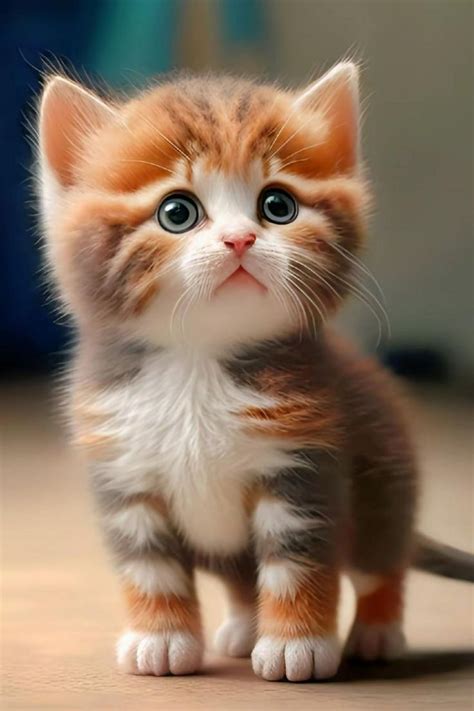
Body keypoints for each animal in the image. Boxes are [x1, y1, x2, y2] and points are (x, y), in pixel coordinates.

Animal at [39, 64, 472, 680]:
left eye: (277, 205)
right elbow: (149, 564)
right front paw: (160, 638)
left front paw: (297, 646)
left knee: (379, 564)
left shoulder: (304, 463)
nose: (239, 238)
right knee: (243, 575)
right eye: (177, 212)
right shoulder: (123, 472)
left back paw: (377, 631)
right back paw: (246, 628)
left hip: (383, 488)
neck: (197, 361)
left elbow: (297, 563)